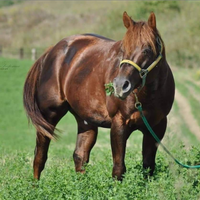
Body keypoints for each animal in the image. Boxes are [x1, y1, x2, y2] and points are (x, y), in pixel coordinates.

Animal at [23, 12, 173, 181]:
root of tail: (52, 50)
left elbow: (148, 167)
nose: (120, 85)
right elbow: (119, 168)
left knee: (80, 156)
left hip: (86, 121)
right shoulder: (119, 124)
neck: (147, 95)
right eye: (122, 49)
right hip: (49, 116)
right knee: (40, 156)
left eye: (147, 50)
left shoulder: (156, 128)